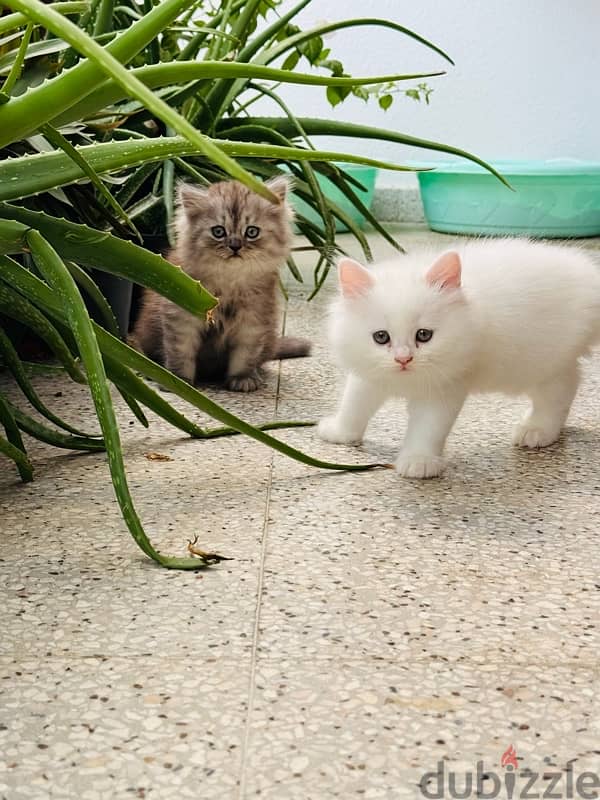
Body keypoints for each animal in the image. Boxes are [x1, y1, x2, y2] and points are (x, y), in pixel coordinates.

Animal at [131, 177, 310, 392]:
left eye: (251, 232)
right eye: (218, 232)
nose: (235, 246)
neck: (229, 281)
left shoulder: (254, 319)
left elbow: (245, 355)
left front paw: (242, 378)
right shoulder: (181, 317)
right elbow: (180, 352)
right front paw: (178, 380)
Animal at [322, 238, 600, 476]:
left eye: (424, 335)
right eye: (381, 337)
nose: (403, 359)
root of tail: (590, 277)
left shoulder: (444, 389)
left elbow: (427, 428)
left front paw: (419, 461)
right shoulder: (368, 378)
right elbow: (354, 405)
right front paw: (341, 432)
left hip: (538, 363)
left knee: (560, 390)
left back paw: (536, 429)